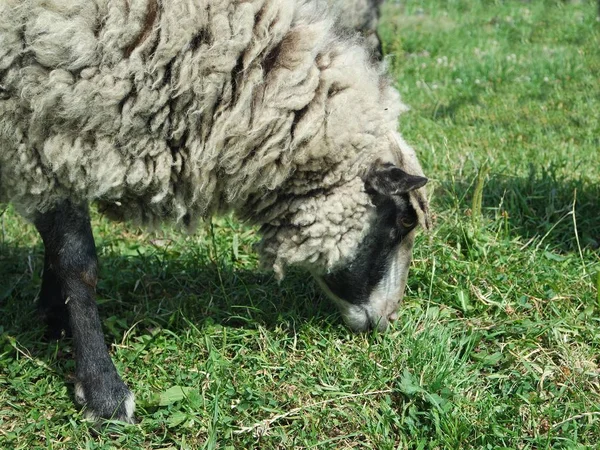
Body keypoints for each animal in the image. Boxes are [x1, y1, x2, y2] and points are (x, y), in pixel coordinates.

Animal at [0, 0, 432, 424]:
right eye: (404, 220)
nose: (389, 320)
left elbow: (58, 251)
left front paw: (54, 319)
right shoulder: (48, 131)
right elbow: (78, 264)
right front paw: (103, 393)